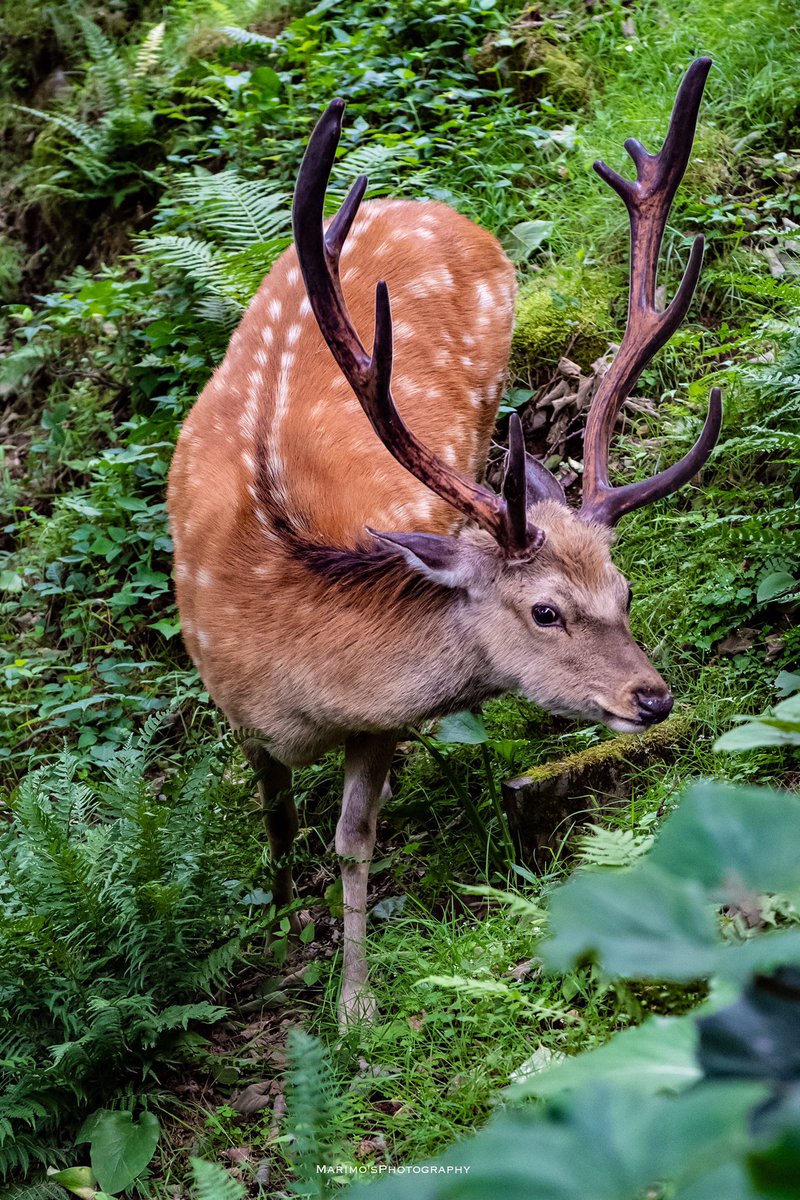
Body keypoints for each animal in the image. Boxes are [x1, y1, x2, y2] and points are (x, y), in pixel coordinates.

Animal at [167, 58, 719, 1022]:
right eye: (546, 610)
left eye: (625, 591)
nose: (652, 698)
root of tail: (425, 203)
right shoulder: (233, 709)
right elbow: (276, 813)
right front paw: (284, 922)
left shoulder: (373, 721)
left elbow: (353, 836)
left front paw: (354, 1003)